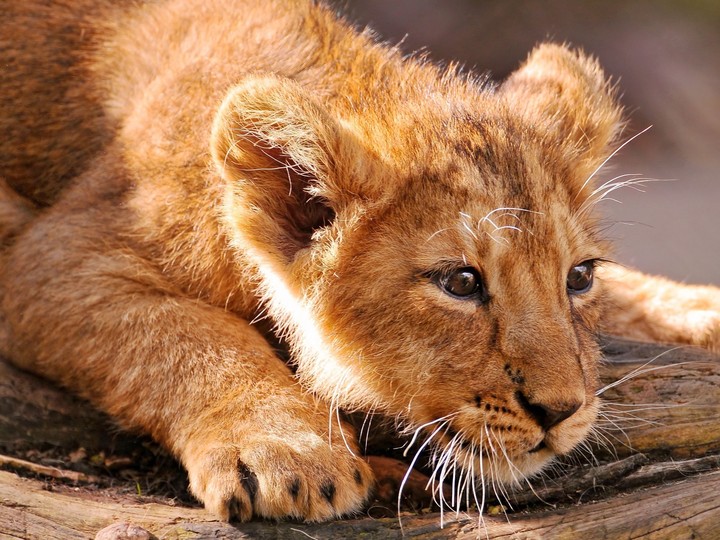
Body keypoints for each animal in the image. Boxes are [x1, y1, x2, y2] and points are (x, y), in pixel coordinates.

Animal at [1, 0, 718, 523]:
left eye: (580, 277)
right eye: (461, 281)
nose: (562, 412)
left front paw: (699, 311)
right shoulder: (54, 256)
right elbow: (188, 333)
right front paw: (287, 452)